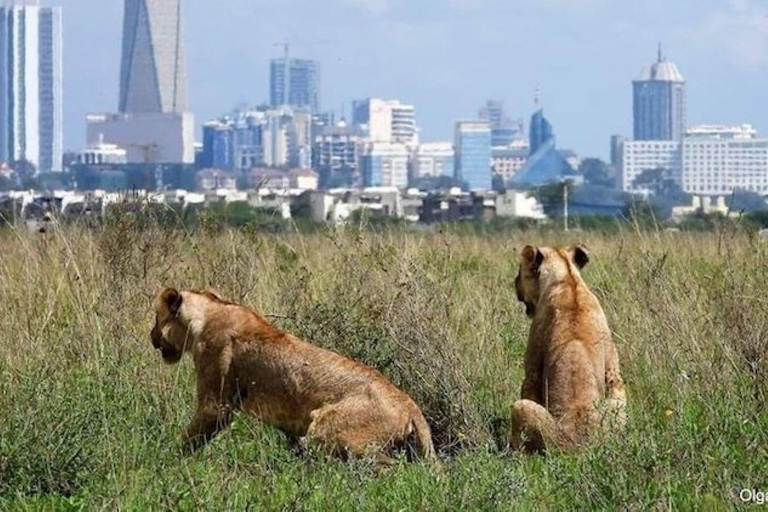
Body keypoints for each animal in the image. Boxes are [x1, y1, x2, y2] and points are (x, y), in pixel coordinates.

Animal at [149, 288, 436, 460]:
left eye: (155, 317)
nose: (151, 336)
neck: (207, 315)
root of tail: (411, 405)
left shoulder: (216, 403)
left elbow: (192, 436)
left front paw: (165, 459)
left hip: (328, 428)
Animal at [508, 247, 628, 452]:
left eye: (520, 271)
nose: (515, 281)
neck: (567, 278)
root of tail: (579, 445)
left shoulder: (532, 371)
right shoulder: (613, 370)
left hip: (521, 408)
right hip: (617, 402)